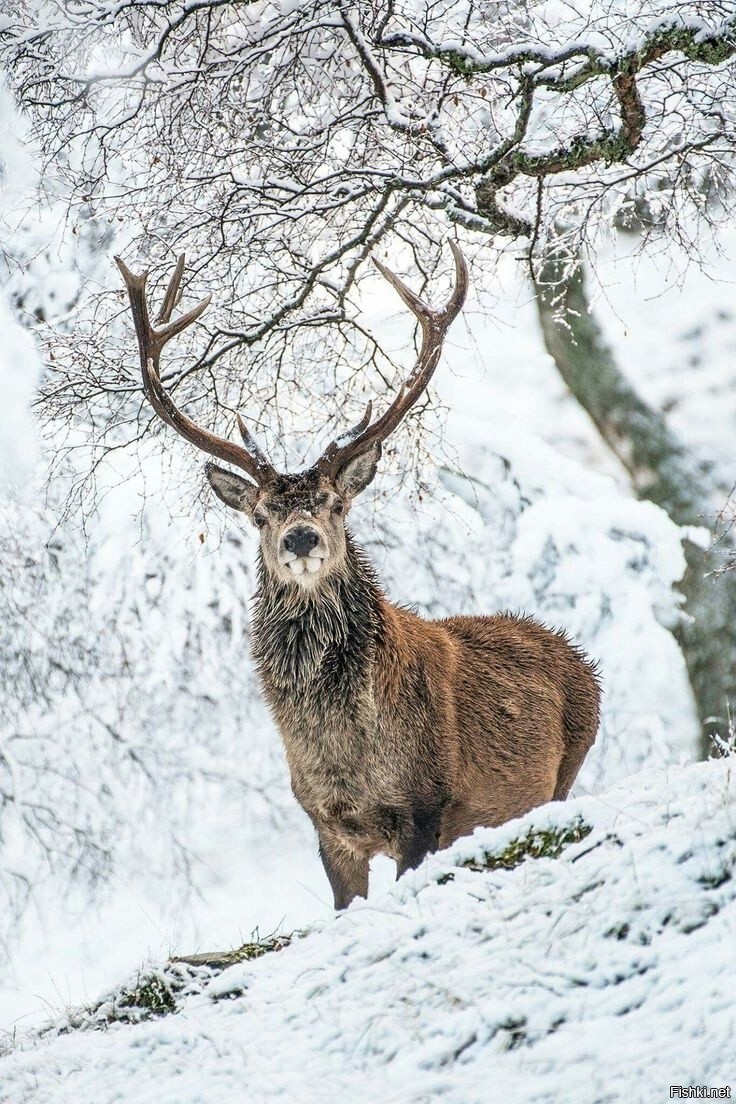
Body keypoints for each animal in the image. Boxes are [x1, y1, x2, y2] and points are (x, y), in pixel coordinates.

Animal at [115, 246, 600, 909]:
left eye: (336, 504)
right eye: (261, 514)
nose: (300, 538)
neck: (345, 751)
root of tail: (578, 657)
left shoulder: (426, 808)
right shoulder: (325, 824)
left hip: (566, 770)